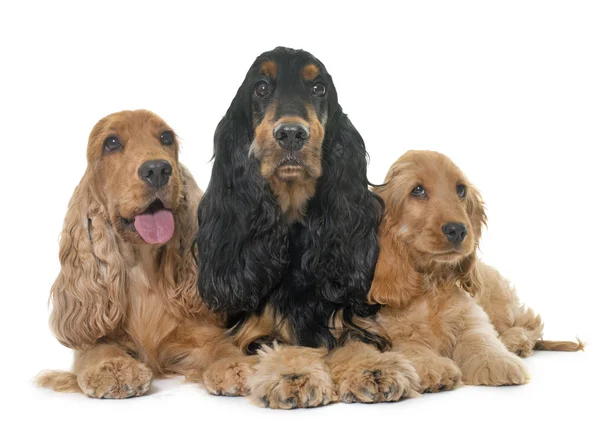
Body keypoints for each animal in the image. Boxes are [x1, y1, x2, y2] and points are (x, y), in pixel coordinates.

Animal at [35, 109, 251, 398]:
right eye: (111, 143)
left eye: (166, 137)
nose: (158, 169)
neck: (143, 271)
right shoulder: (92, 339)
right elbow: (98, 348)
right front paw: (114, 370)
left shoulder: (198, 332)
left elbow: (221, 345)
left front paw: (234, 366)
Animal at [195, 49, 420, 406]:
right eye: (261, 88)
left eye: (318, 88)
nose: (291, 133)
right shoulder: (255, 322)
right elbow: (261, 344)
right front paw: (290, 375)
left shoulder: (341, 311)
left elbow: (354, 341)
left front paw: (373, 369)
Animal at [370, 151, 580, 392]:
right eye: (417, 190)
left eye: (460, 190)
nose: (458, 230)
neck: (432, 283)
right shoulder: (392, 334)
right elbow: (411, 348)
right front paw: (434, 368)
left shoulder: (472, 318)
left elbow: (481, 340)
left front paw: (498, 362)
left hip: (498, 301)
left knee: (530, 322)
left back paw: (516, 340)